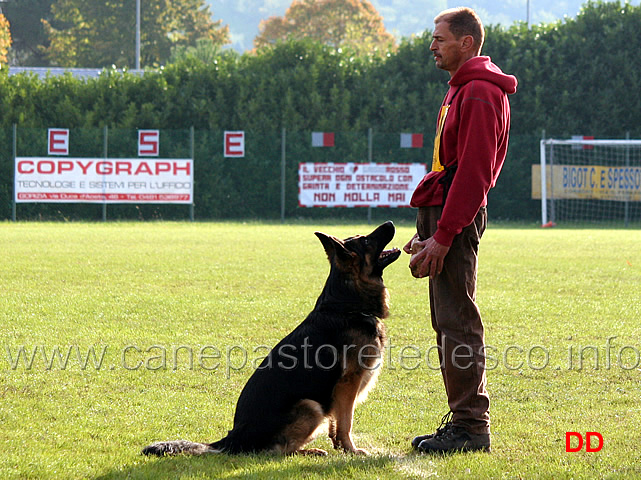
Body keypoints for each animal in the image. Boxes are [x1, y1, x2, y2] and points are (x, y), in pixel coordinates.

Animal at [142, 221, 398, 458]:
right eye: (367, 241)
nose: (390, 223)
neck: (346, 305)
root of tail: (233, 437)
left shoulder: (337, 394)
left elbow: (335, 424)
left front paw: (341, 447)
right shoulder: (347, 384)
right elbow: (346, 422)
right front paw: (351, 450)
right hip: (310, 406)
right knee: (279, 450)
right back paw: (309, 451)